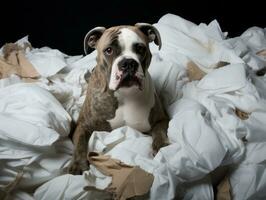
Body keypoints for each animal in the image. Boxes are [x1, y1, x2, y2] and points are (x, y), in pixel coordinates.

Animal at [68, 22, 168, 174]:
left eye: (140, 48)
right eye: (108, 50)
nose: (128, 63)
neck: (124, 94)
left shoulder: (161, 119)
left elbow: (159, 131)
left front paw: (161, 147)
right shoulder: (83, 126)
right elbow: (80, 142)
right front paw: (78, 164)